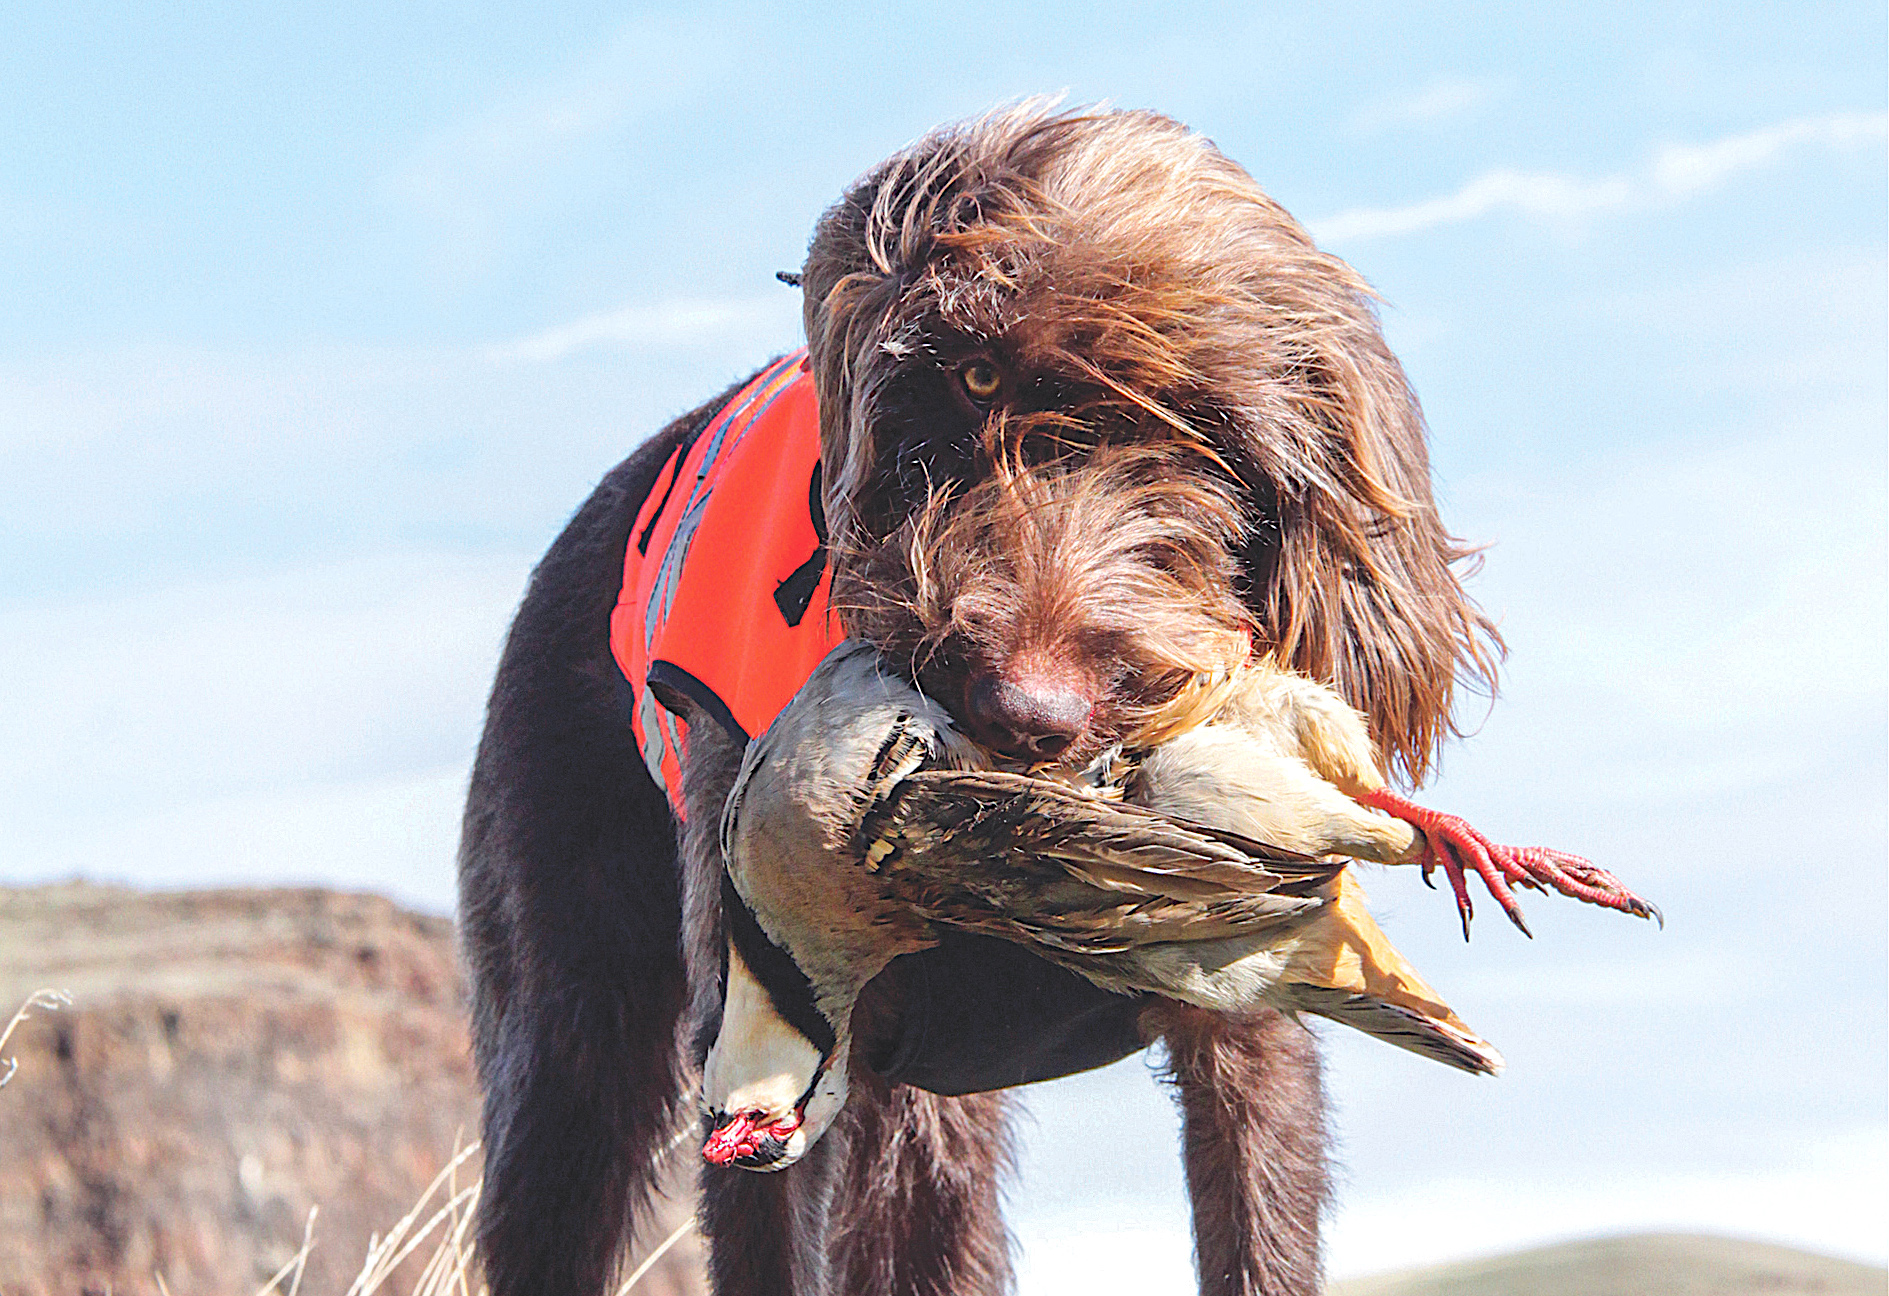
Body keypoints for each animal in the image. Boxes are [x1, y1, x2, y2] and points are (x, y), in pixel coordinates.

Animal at [460, 103, 1503, 1296]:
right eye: (973, 381)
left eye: (1201, 428)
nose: (1026, 714)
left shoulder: (1245, 1030)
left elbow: (1255, 1232)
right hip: (570, 1041)